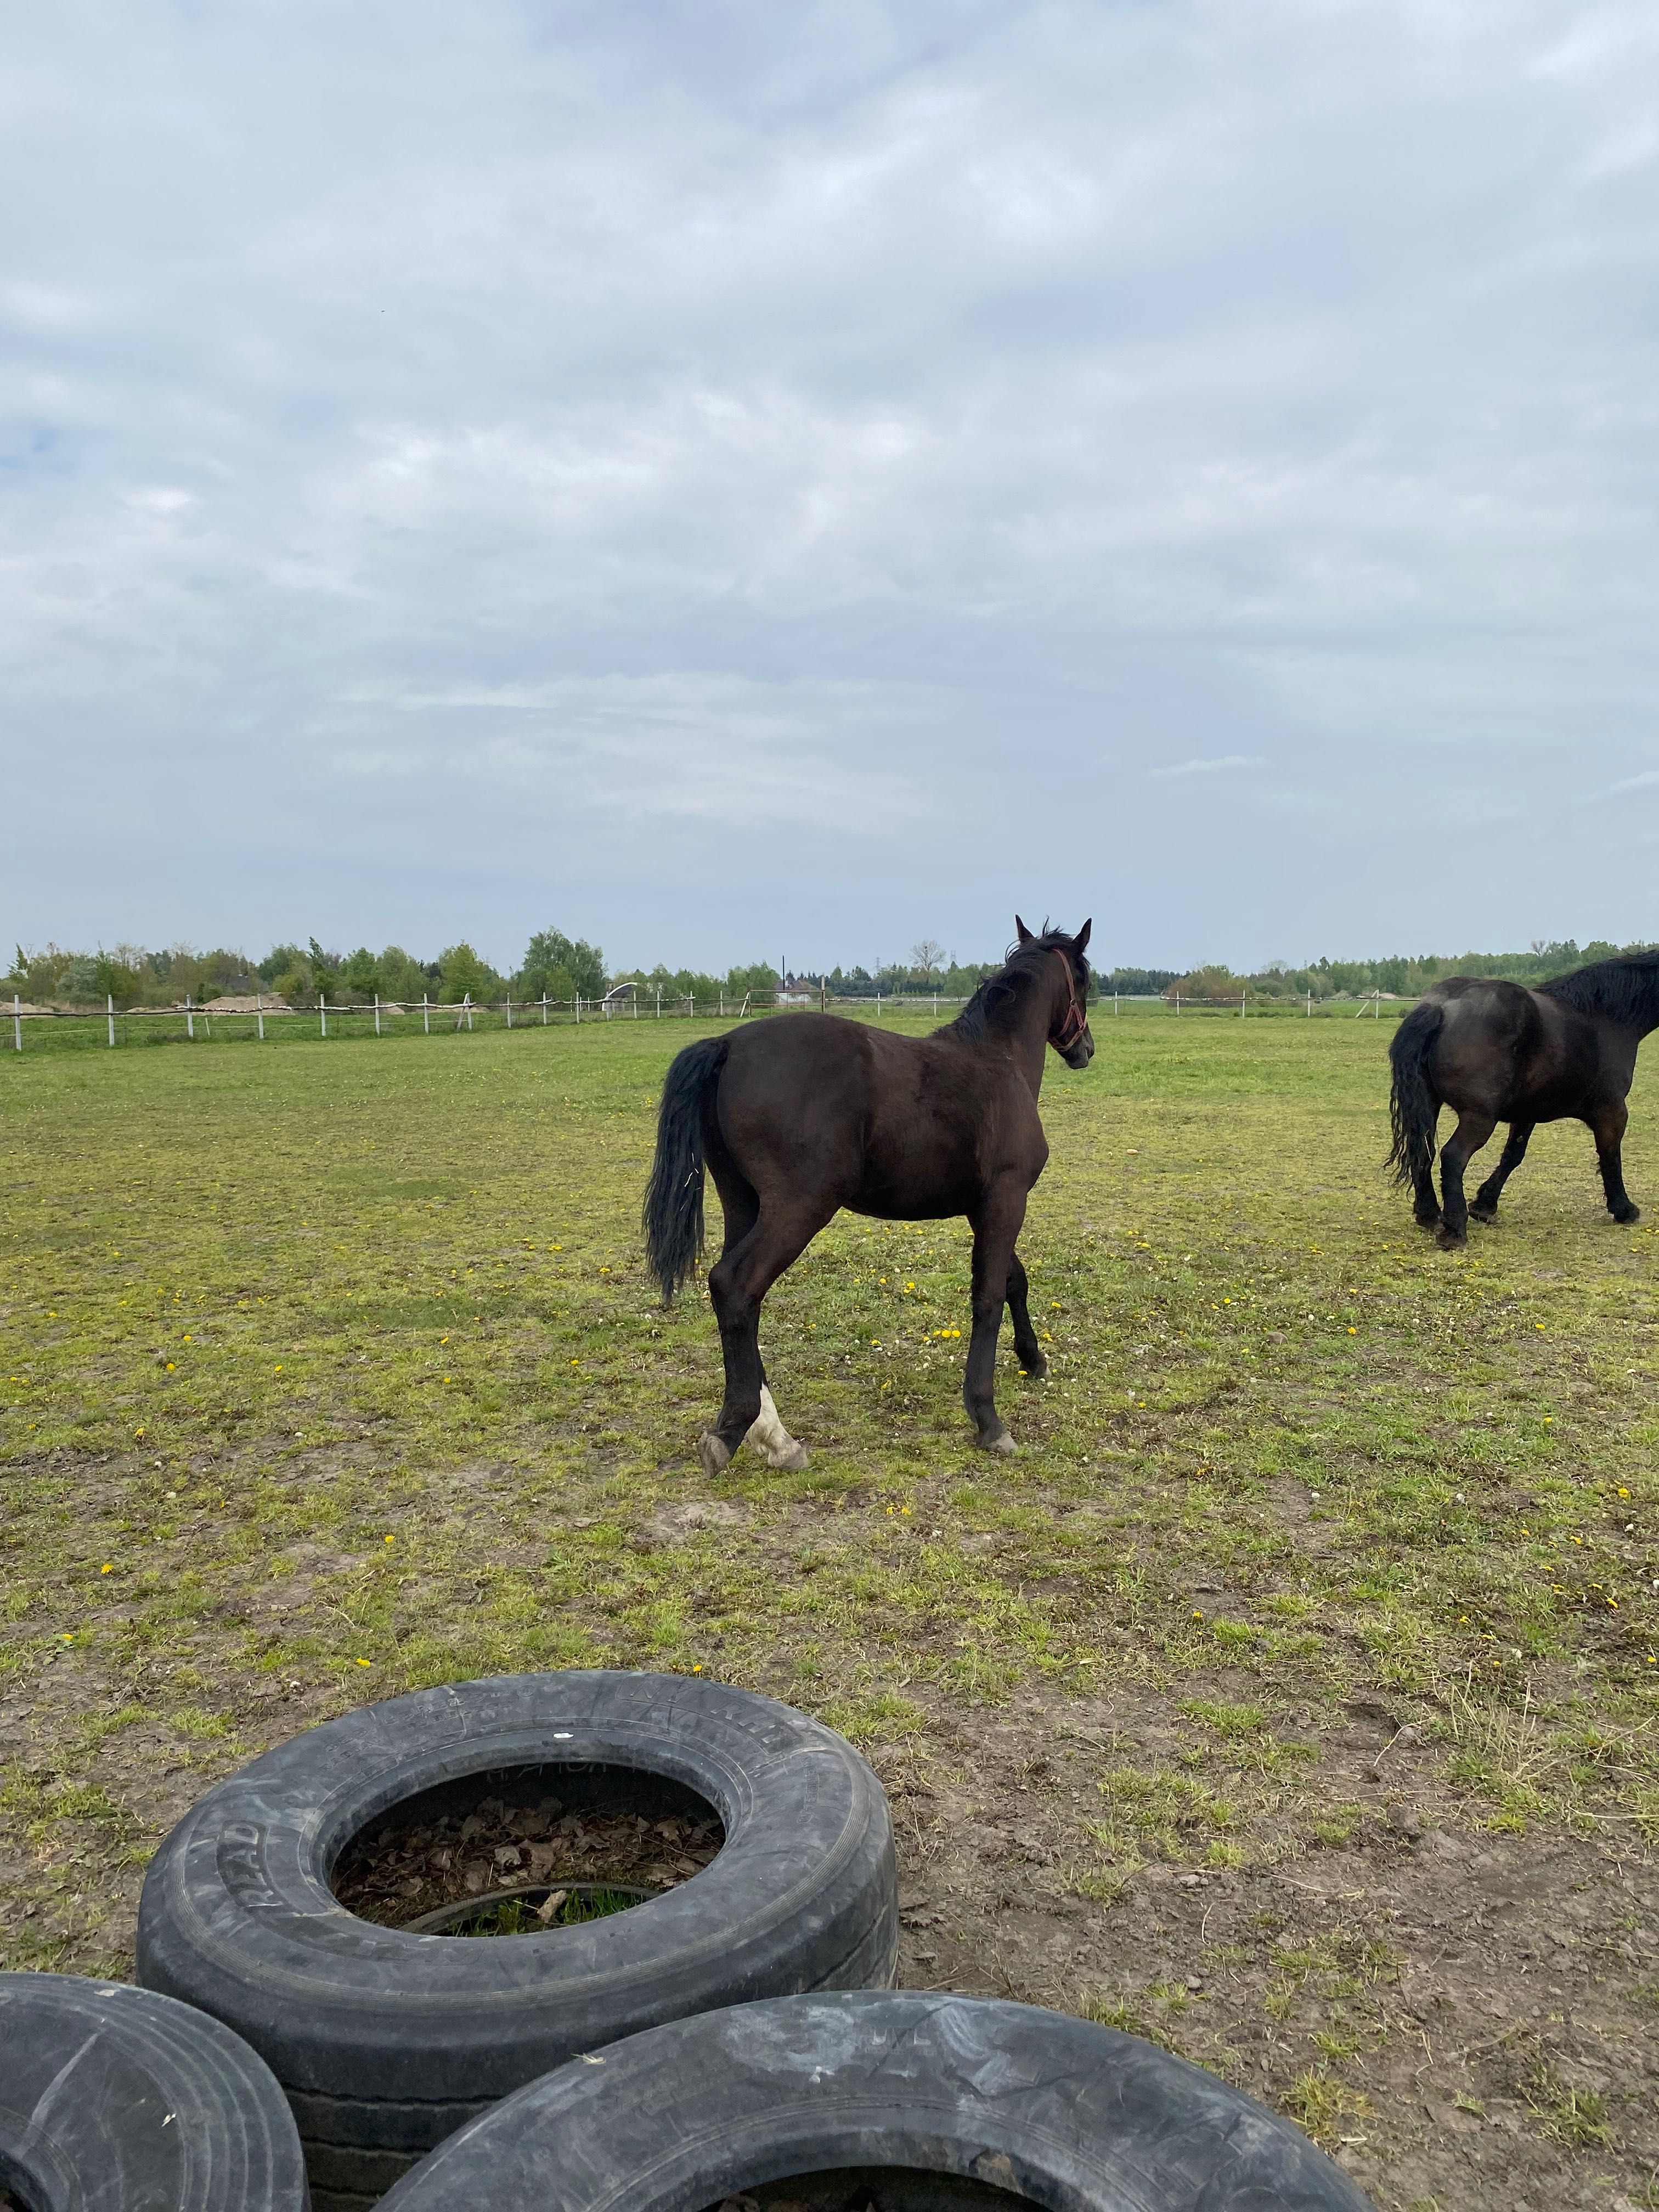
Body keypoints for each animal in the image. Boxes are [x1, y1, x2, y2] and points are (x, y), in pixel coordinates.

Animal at [641, 916, 1097, 1469]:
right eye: (1085, 978)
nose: (1086, 1049)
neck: (997, 1060)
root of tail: (727, 1045)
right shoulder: (1007, 1200)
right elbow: (988, 1298)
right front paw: (988, 1418)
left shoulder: (984, 1207)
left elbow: (1014, 1281)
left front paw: (1034, 1359)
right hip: (799, 1209)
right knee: (736, 1286)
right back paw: (737, 1431)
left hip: (743, 1203)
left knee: (736, 1298)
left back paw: (773, 1436)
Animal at [1389, 951, 1659, 1256]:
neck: (1605, 1018)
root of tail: (1442, 1008)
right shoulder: (1612, 1111)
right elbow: (1610, 1156)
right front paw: (1623, 1209)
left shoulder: (1527, 1113)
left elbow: (1512, 1156)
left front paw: (1484, 1205)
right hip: (1479, 1118)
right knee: (1453, 1157)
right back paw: (1454, 1230)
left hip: (1430, 1106)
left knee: (1424, 1150)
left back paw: (1429, 1214)